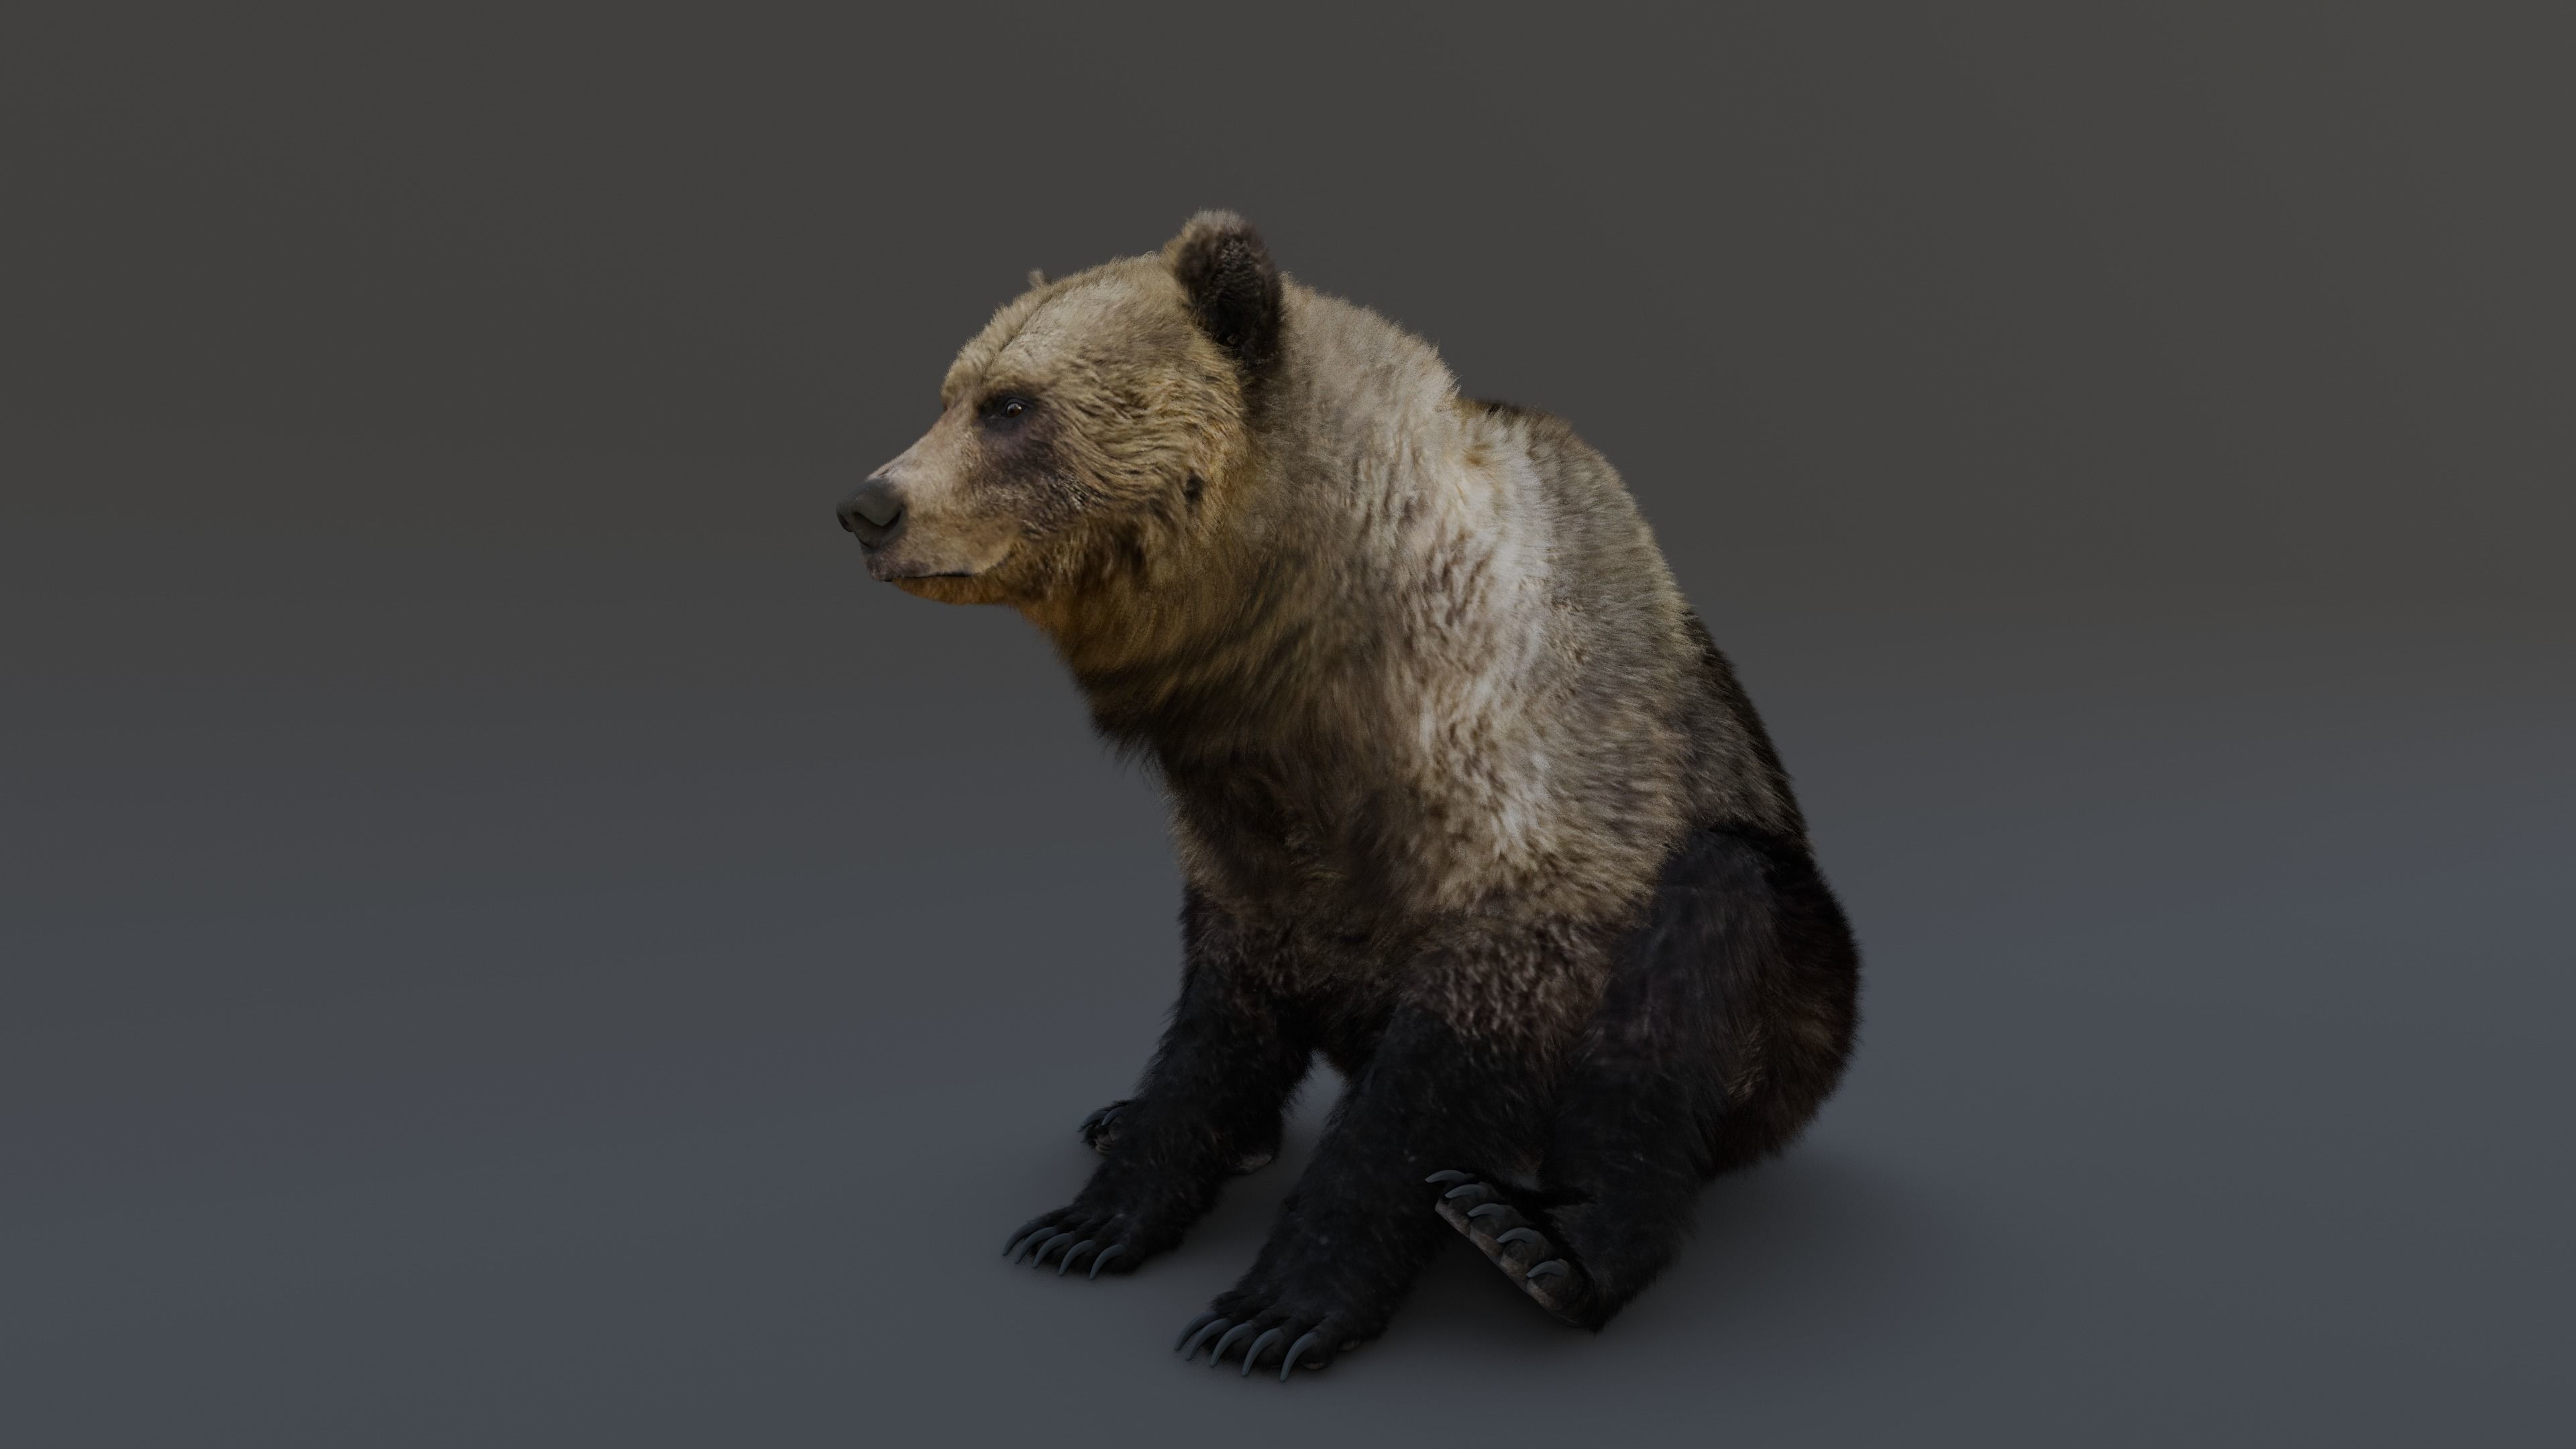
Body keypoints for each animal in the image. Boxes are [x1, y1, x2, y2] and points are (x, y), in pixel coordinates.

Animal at [839, 213, 1861, 1380]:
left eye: (1011, 406)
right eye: (951, 390)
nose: (869, 505)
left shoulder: (1527, 782)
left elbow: (1451, 1049)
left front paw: (1276, 1309)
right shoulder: (1243, 826)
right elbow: (1220, 1013)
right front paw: (1098, 1211)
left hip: (1792, 993)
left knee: (1706, 937)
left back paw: (1542, 1242)